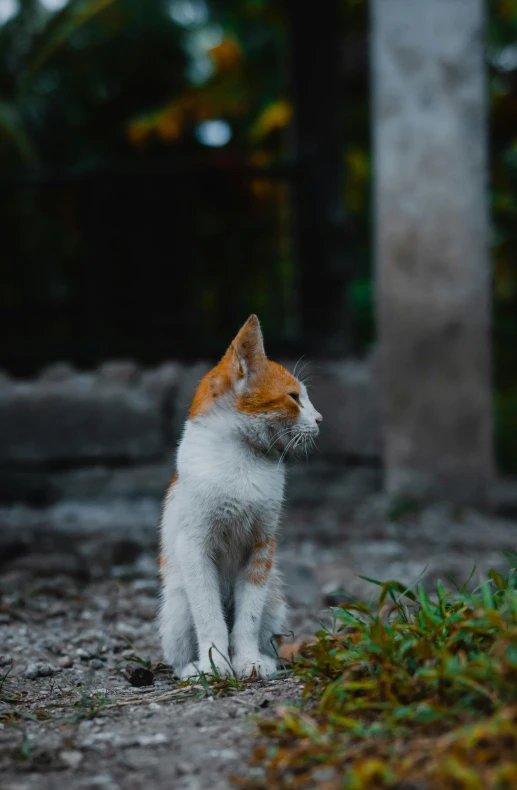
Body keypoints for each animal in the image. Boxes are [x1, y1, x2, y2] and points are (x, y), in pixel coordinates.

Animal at [157, 316, 320, 680]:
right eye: (294, 398)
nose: (320, 419)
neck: (244, 460)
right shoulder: (193, 548)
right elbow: (209, 616)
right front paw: (214, 664)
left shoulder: (262, 548)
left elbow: (248, 617)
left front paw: (248, 660)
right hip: (176, 602)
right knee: (177, 652)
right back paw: (191, 669)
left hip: (275, 593)